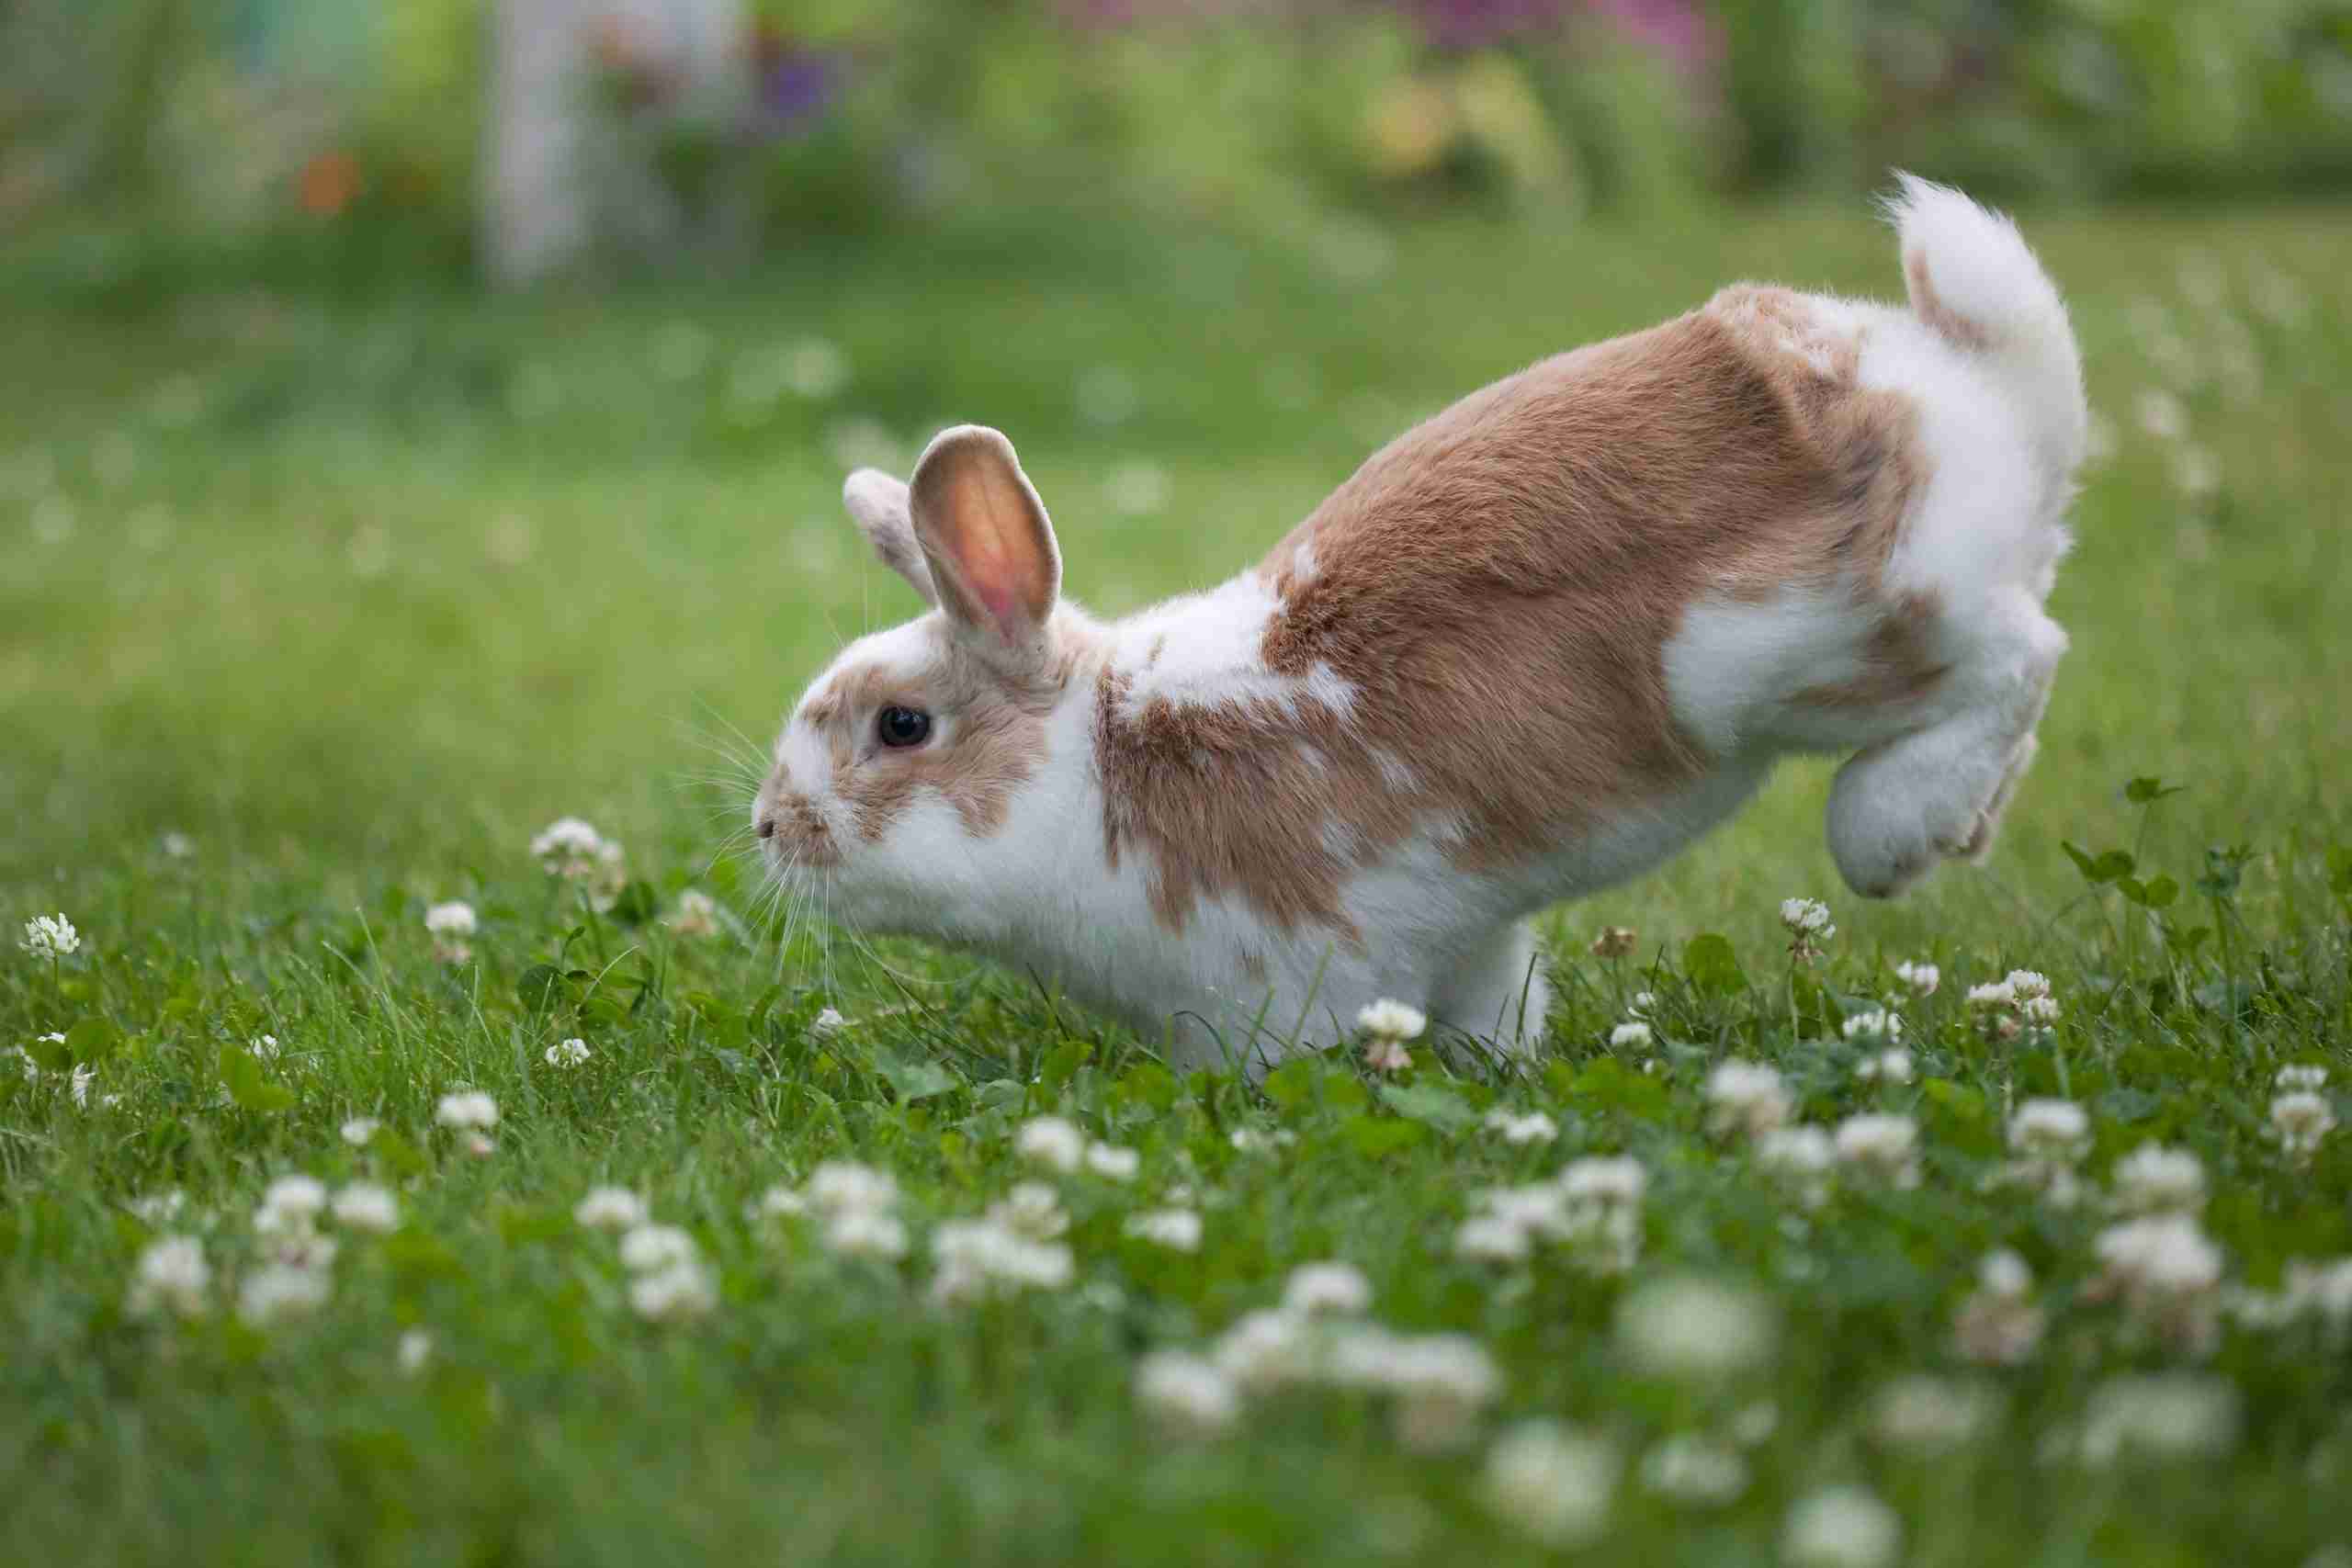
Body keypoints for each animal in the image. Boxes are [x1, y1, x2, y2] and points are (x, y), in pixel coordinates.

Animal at [753, 176, 2085, 1072]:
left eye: (902, 726)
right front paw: (1501, 1074)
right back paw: (1959, 828)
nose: (769, 827)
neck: (1101, 760)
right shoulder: (1465, 939)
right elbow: (1495, 1009)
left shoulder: (1283, 980)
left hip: (1806, 649)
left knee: (2021, 656)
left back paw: (1894, 832)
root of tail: (1966, 385)